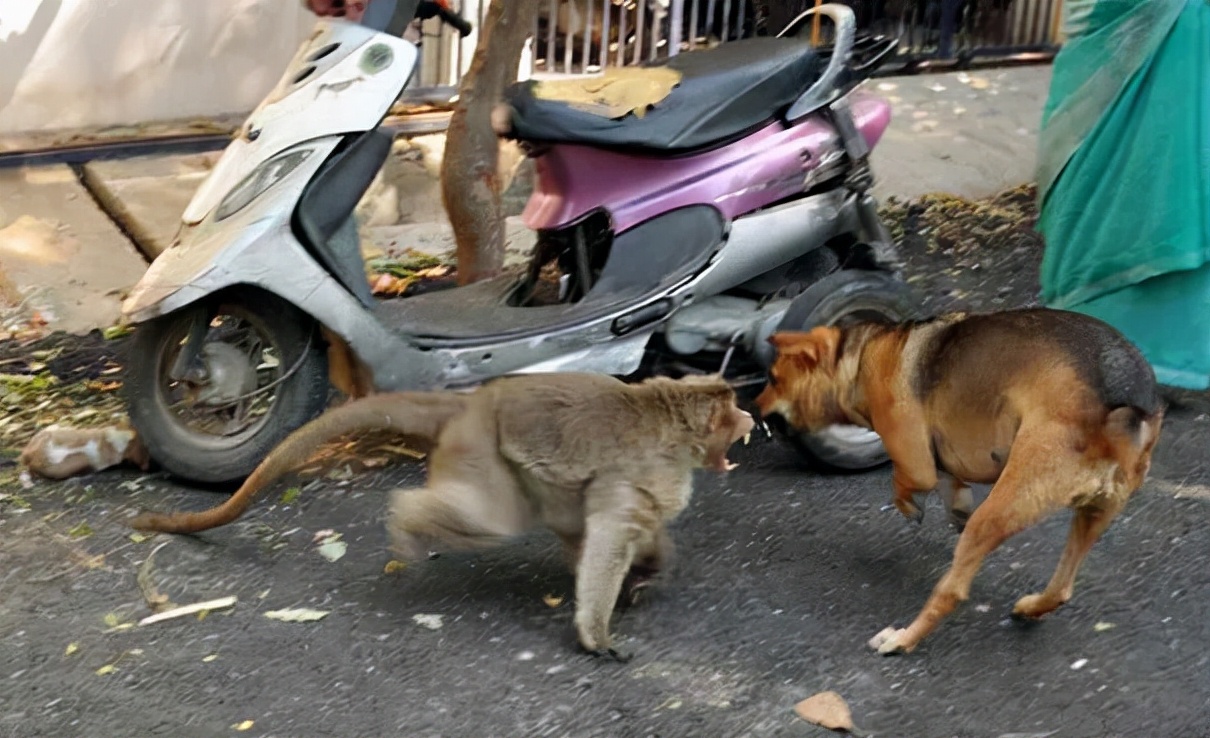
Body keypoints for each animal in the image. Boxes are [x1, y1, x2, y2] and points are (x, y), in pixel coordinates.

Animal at [134, 372, 755, 653]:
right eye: (735, 410)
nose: (751, 417)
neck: (672, 418)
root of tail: (473, 401)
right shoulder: (647, 469)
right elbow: (611, 531)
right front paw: (596, 634)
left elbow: (624, 528)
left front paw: (649, 572)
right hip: (480, 448)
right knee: (494, 521)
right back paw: (406, 520)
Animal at [755, 307, 1161, 653]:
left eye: (774, 379)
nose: (754, 409)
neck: (858, 357)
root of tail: (1121, 407)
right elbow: (951, 483)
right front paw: (953, 507)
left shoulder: (915, 461)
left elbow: (906, 482)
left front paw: (910, 506)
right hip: (1094, 514)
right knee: (1062, 588)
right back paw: (1031, 607)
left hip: (1000, 511)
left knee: (951, 592)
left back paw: (903, 639)